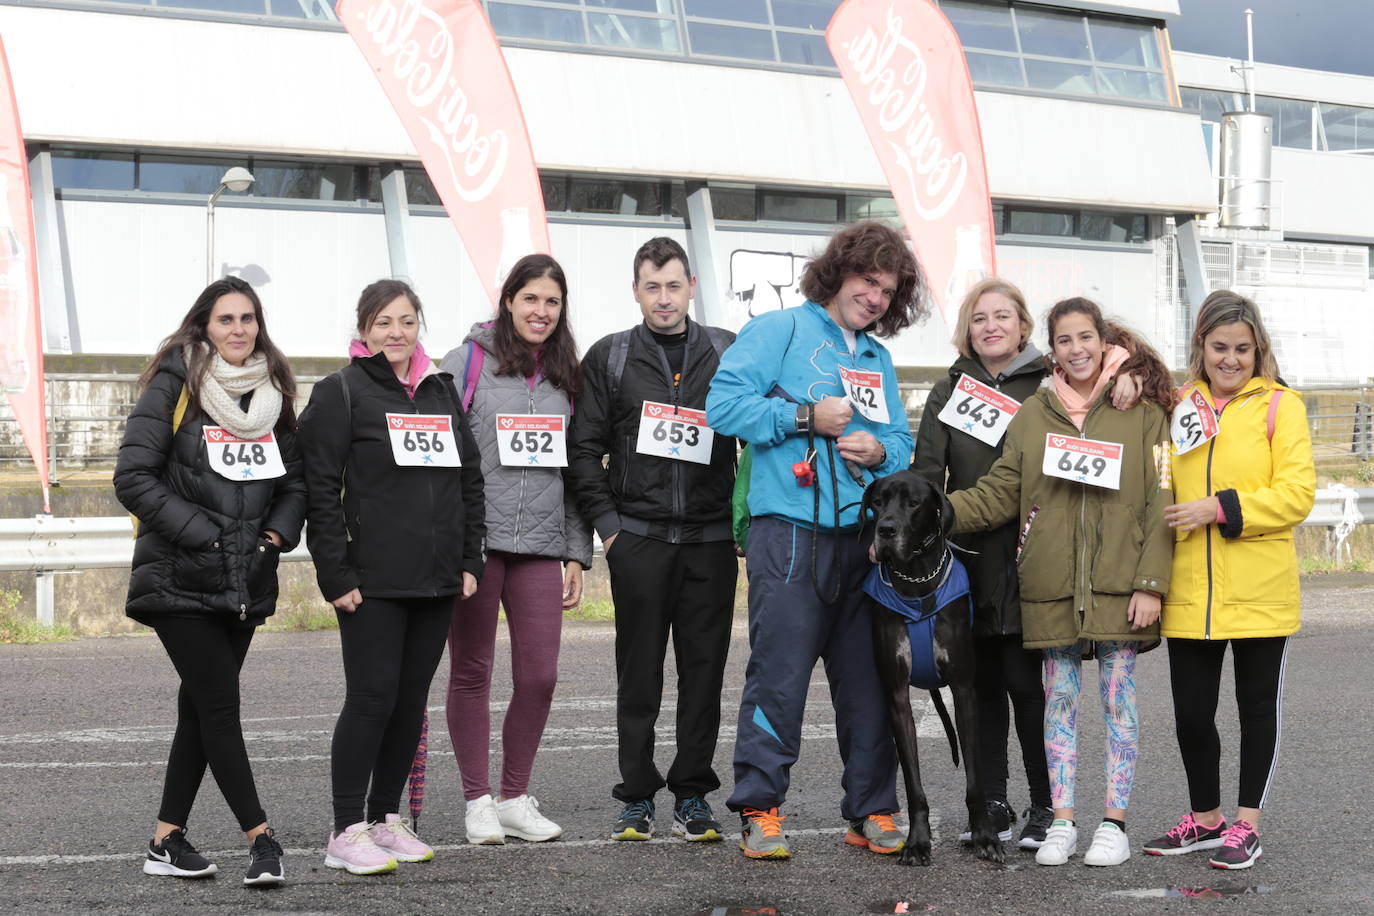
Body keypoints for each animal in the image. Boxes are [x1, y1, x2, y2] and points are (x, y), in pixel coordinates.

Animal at [862, 472, 1005, 867]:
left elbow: (975, 779)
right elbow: (913, 784)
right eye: (877, 501)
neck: (916, 583)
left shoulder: (965, 690)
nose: (886, 530)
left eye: (914, 503)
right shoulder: (896, 697)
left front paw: (985, 836)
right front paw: (917, 842)